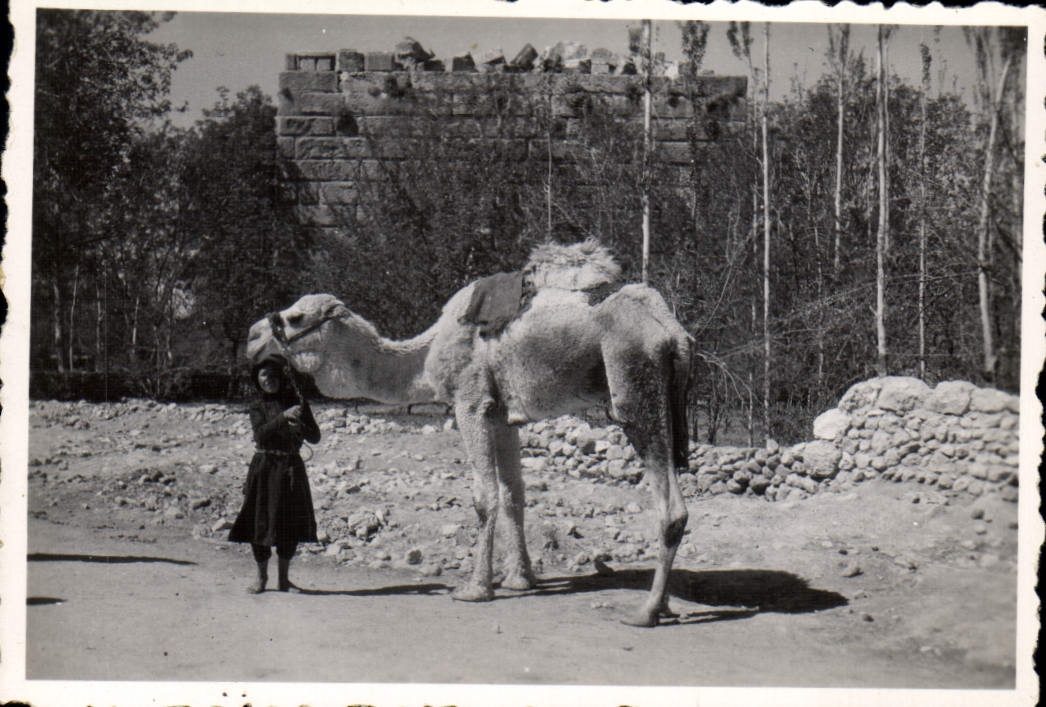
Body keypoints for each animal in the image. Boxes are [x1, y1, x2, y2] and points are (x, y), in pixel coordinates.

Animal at [246, 241, 693, 627]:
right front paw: (519, 579)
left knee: (670, 506)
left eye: (296, 317)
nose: (252, 337)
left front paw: (475, 588)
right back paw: (664, 605)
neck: (427, 355)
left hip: (633, 380)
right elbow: (513, 495)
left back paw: (646, 611)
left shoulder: (470, 402)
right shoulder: (502, 416)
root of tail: (673, 331)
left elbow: (484, 497)